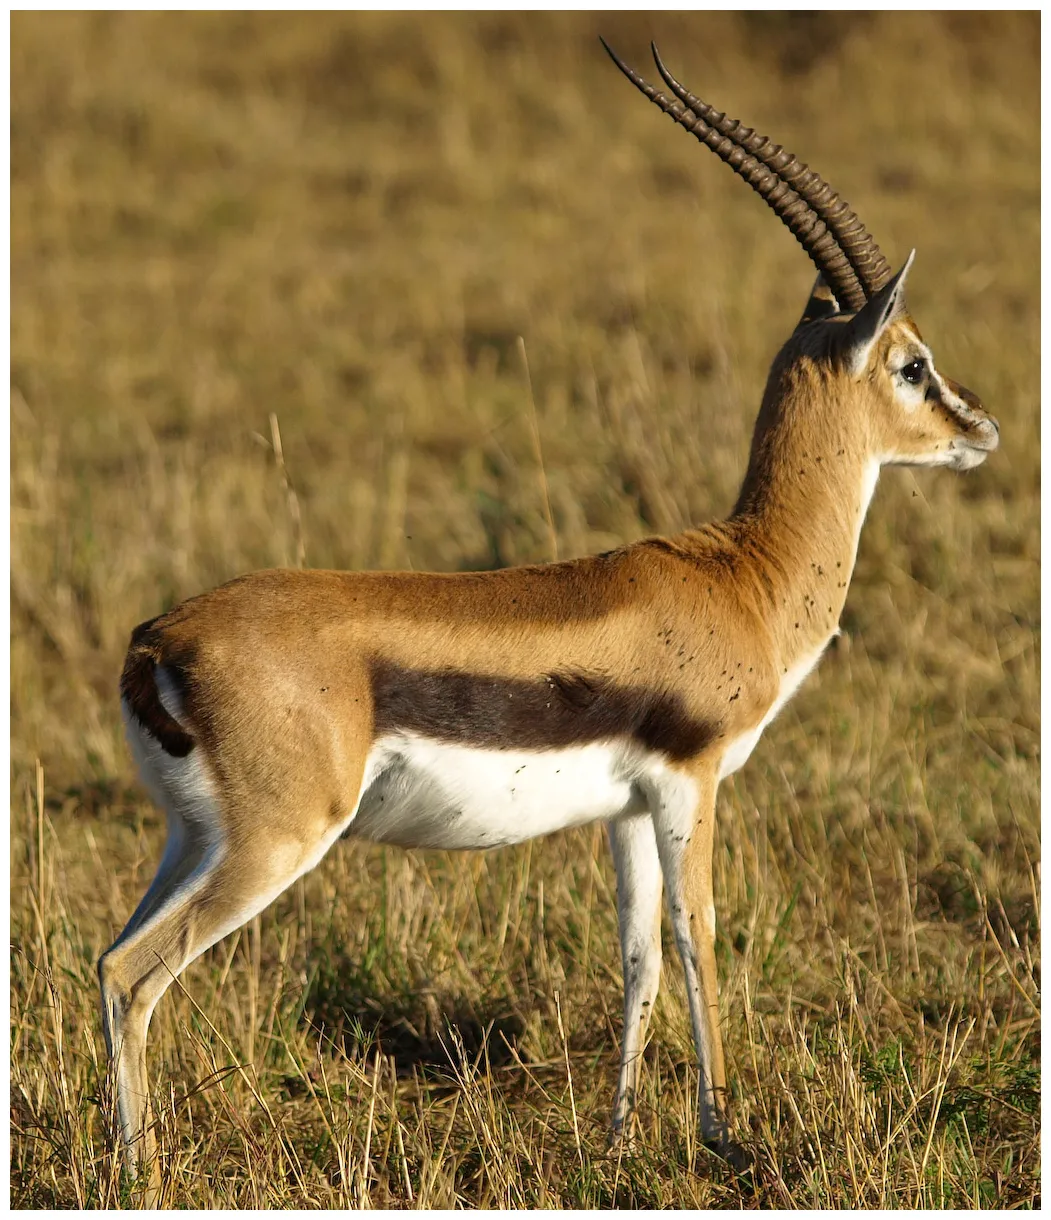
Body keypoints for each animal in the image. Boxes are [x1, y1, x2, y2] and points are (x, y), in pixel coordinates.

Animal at [101, 41, 999, 1194]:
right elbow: (699, 932)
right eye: (911, 363)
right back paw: (137, 1172)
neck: (740, 576)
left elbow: (637, 952)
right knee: (134, 971)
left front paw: (616, 1138)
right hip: (276, 840)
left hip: (190, 838)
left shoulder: (625, 804)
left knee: (104, 958)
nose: (979, 429)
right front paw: (724, 1135)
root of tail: (156, 641)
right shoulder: (691, 780)